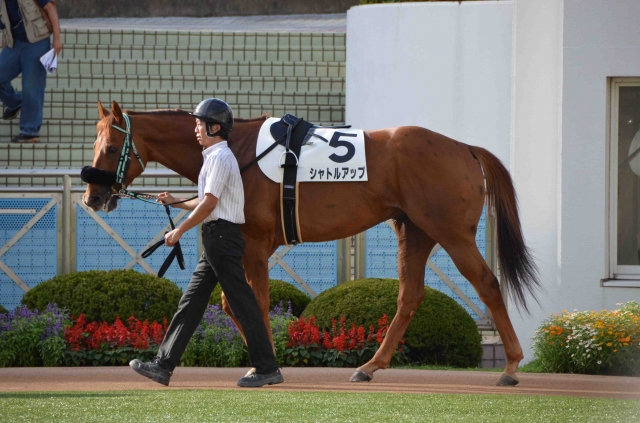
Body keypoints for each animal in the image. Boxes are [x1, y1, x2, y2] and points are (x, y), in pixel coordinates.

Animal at [84, 100, 539, 386]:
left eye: (111, 146)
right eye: (96, 144)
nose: (92, 197)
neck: (235, 149)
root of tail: (465, 148)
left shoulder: (255, 246)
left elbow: (253, 303)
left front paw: (264, 368)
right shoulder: (244, 246)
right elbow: (233, 304)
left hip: (452, 233)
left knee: (487, 284)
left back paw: (511, 365)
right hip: (414, 232)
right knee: (409, 297)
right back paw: (369, 366)